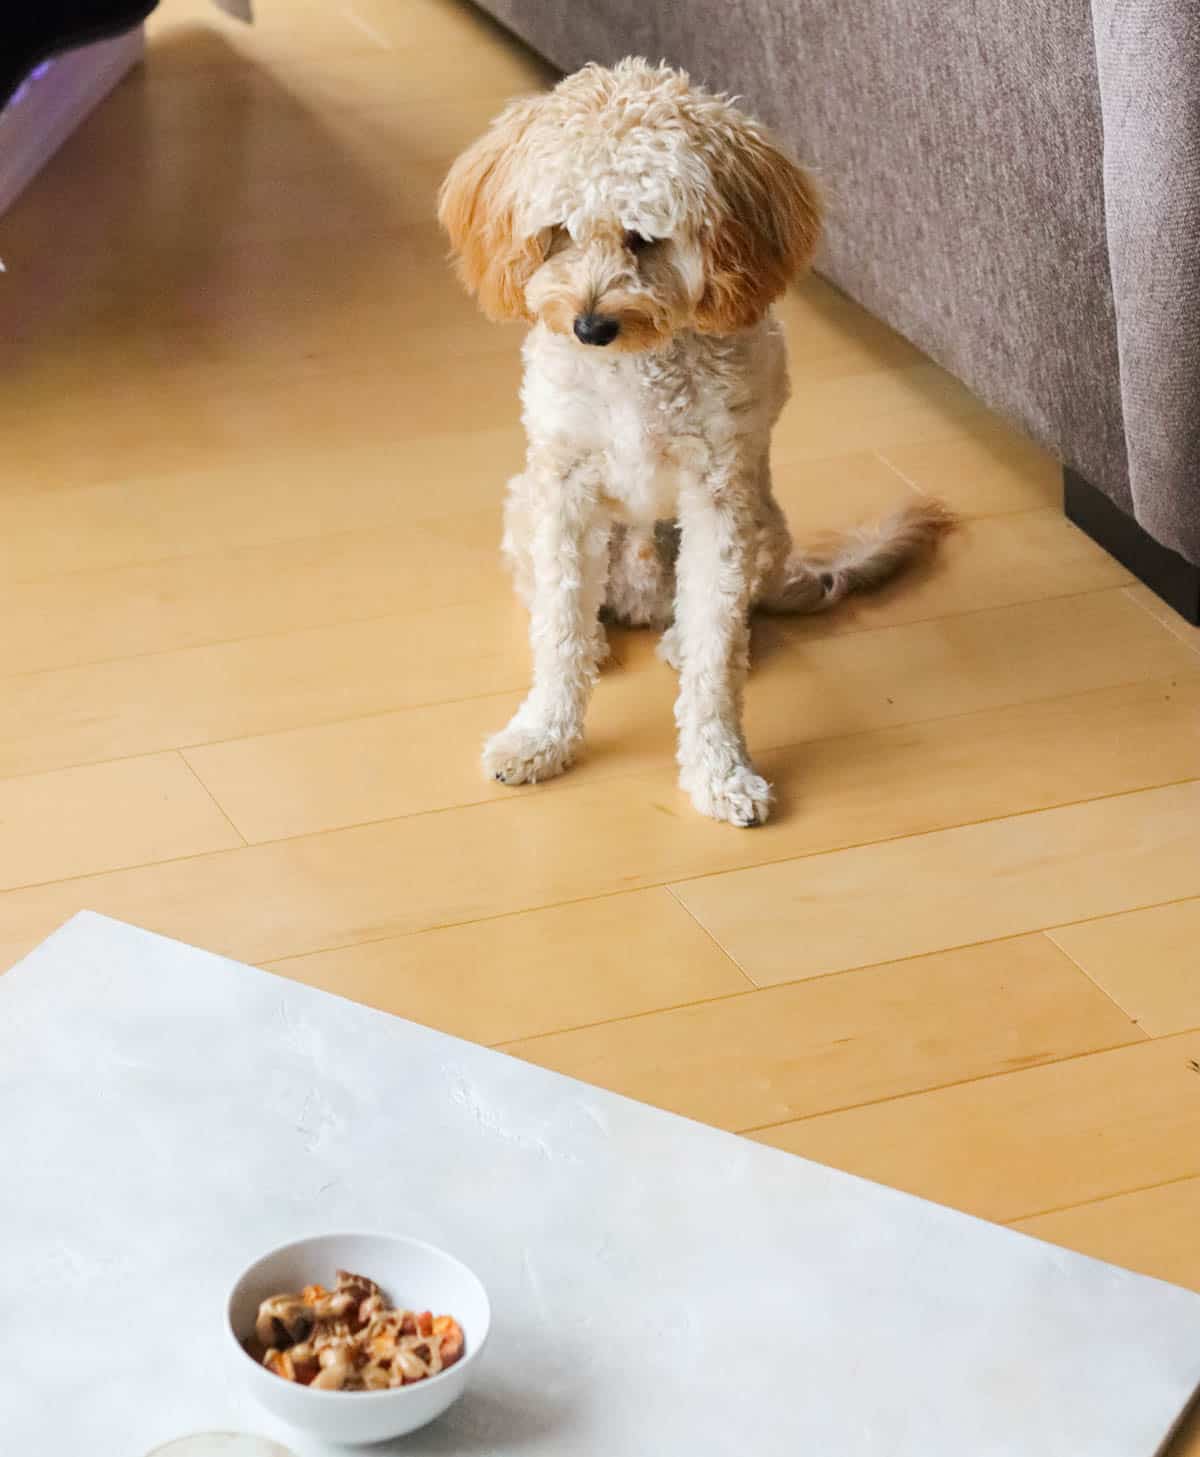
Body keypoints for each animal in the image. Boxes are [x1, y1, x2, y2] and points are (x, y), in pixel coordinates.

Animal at [436, 56, 949, 827]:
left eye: (644, 239)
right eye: (559, 230)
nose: (589, 326)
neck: (636, 368)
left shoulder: (718, 502)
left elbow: (716, 659)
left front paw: (721, 772)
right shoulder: (565, 490)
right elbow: (557, 631)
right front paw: (542, 737)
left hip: (762, 523)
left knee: (724, 621)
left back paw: (679, 637)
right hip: (525, 509)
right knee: (558, 605)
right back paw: (597, 639)